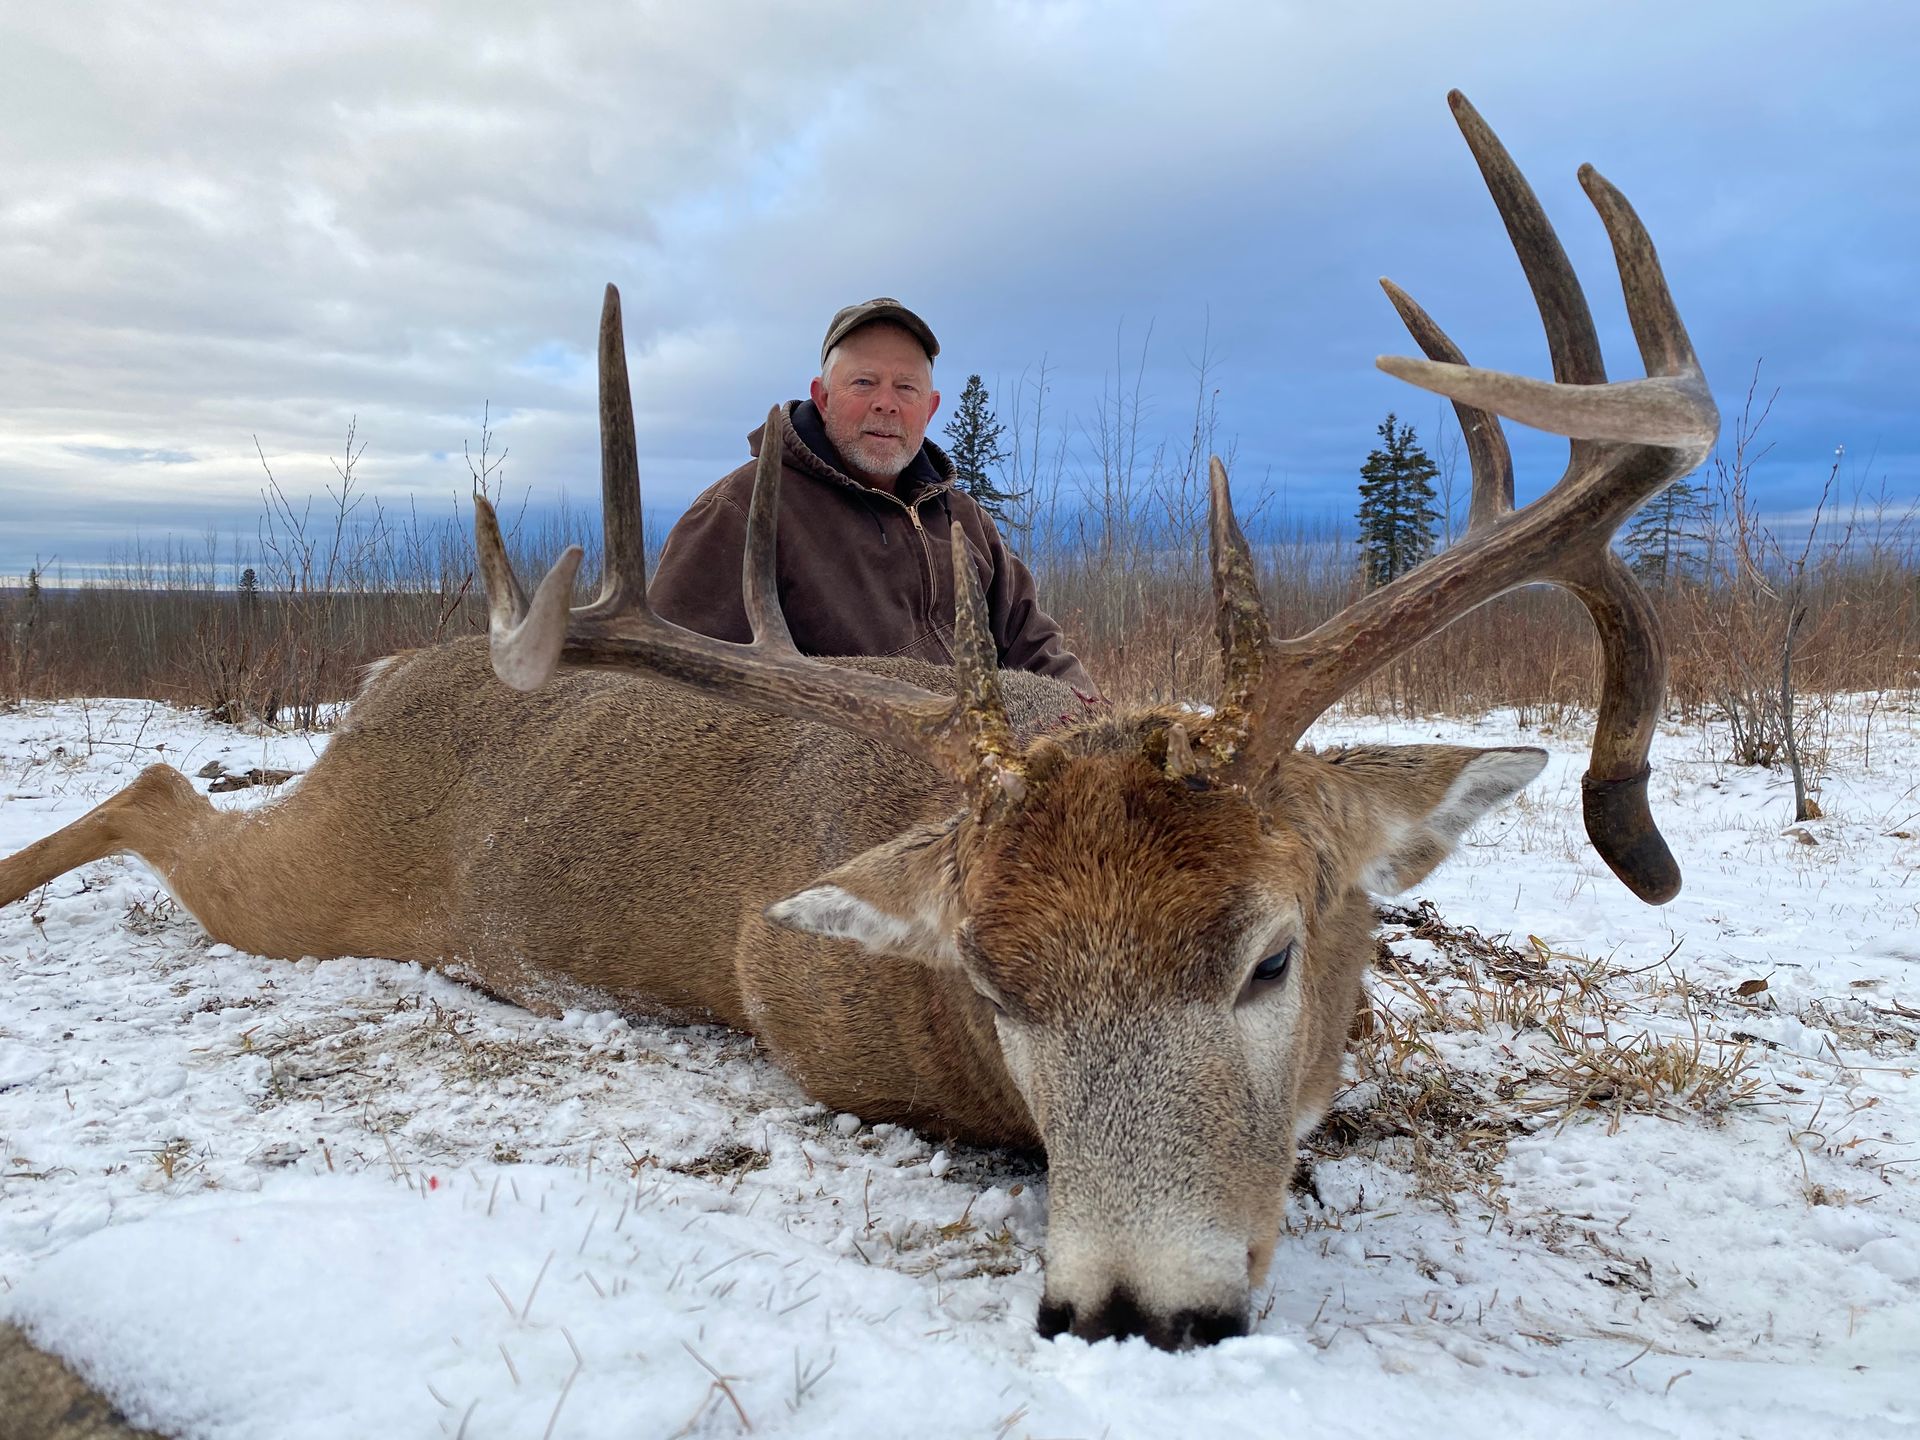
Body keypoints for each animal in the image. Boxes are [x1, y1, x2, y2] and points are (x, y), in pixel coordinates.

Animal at [0, 93, 1715, 1352]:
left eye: (1272, 957)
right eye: (992, 981)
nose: (1132, 1309)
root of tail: (392, 678)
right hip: (315, 878)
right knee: (155, 779)